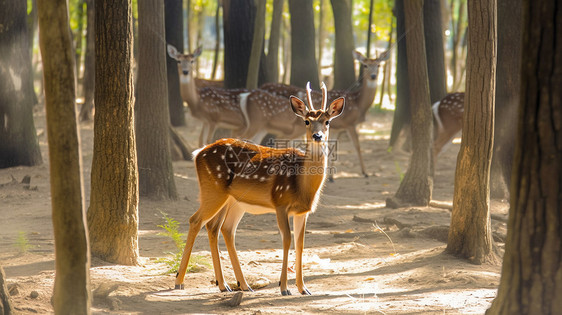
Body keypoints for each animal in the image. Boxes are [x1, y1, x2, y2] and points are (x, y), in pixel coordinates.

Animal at [173, 82, 344, 296]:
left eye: (327, 121)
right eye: (306, 121)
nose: (317, 136)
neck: (302, 184)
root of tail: (197, 154)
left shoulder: (302, 211)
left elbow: (301, 244)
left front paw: (304, 288)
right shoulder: (280, 203)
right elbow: (287, 240)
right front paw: (284, 287)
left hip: (232, 201)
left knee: (220, 228)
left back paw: (232, 285)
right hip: (212, 191)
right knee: (196, 220)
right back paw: (180, 281)